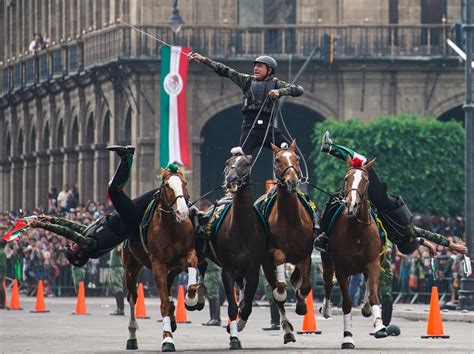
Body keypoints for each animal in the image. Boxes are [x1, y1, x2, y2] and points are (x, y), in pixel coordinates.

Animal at [123, 166, 203, 352]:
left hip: (171, 270)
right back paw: (132, 336)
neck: (172, 227)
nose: (183, 212)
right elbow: (164, 303)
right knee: (132, 297)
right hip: (131, 267)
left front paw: (191, 298)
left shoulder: (185, 256)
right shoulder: (159, 264)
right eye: (167, 185)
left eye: (185, 183)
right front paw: (167, 339)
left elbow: (192, 267)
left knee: (168, 289)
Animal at [207, 147, 266, 352]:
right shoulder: (228, 270)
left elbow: (247, 305)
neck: (242, 229)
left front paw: (239, 323)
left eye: (246, 163)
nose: (231, 179)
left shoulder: (253, 270)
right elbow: (232, 307)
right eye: (228, 162)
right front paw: (234, 338)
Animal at [260, 140, 314, 344]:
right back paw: (287, 330)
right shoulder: (272, 251)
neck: (290, 218)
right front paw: (283, 291)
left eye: (296, 158)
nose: (292, 181)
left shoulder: (305, 254)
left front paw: (301, 303)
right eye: (277, 160)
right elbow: (280, 262)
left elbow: (305, 285)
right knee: (277, 293)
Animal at [318, 156, 388, 350]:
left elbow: (373, 294)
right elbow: (347, 302)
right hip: (327, 259)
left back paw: (366, 308)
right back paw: (326, 309)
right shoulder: (341, 268)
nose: (352, 204)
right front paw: (348, 337)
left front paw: (380, 325)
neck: (356, 229)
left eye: (366, 180)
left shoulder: (373, 262)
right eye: (346, 178)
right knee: (328, 282)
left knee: (367, 282)